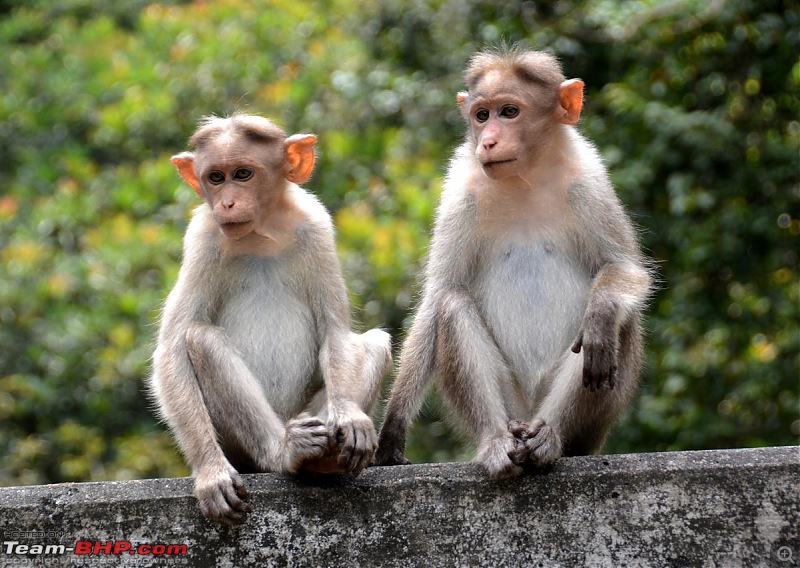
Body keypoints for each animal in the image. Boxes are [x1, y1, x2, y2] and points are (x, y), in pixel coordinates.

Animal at [149, 114, 390, 524]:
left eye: (243, 174)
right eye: (216, 177)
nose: (227, 202)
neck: (261, 235)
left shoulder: (316, 227)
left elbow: (335, 332)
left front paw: (350, 416)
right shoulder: (202, 238)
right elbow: (171, 350)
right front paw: (211, 473)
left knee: (374, 343)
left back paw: (324, 460)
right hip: (240, 446)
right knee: (200, 338)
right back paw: (286, 452)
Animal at [374, 46, 648, 478]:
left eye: (509, 112)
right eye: (481, 115)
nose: (487, 141)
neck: (525, 178)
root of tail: (527, 412)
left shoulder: (590, 185)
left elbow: (625, 270)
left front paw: (602, 313)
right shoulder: (460, 194)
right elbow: (438, 295)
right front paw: (393, 429)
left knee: (617, 325)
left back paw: (549, 437)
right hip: (510, 401)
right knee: (452, 305)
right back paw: (497, 441)